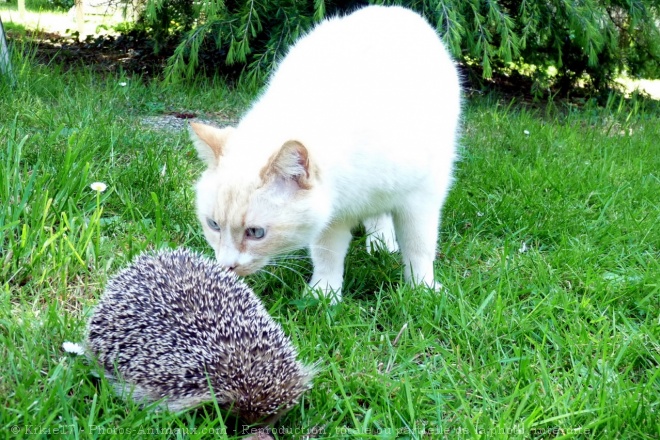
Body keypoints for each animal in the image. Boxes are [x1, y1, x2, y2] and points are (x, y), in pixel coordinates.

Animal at [188, 6, 462, 302]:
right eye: (213, 225)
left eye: (255, 233)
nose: (227, 267)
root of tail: (389, 9)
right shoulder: (333, 216)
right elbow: (327, 255)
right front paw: (324, 295)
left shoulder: (422, 199)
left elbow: (418, 247)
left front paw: (423, 290)